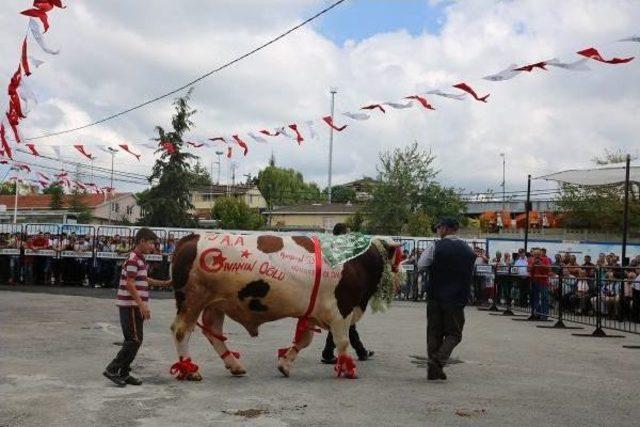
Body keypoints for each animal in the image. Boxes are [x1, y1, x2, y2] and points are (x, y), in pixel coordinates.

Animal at [170, 232, 400, 380]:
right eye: (398, 259)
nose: (401, 278)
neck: (358, 262)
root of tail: (191, 238)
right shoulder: (342, 310)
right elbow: (343, 341)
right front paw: (348, 368)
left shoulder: (312, 312)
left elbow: (304, 340)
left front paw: (285, 364)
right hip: (192, 300)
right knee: (181, 331)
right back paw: (189, 370)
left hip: (216, 304)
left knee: (213, 332)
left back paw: (234, 365)